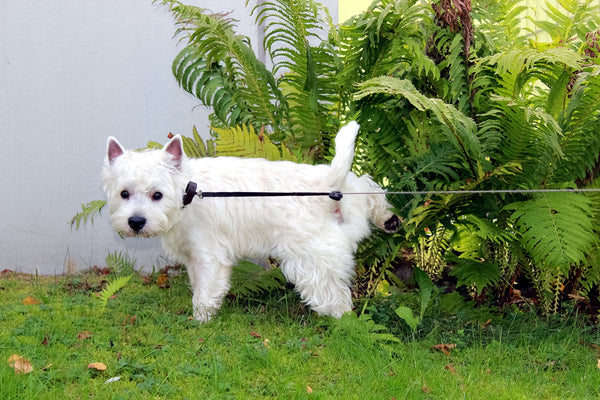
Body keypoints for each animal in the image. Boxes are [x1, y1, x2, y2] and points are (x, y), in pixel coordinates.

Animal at [102, 122, 398, 322]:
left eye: (157, 195)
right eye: (124, 193)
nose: (136, 221)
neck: (188, 193)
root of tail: (328, 187)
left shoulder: (210, 256)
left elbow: (205, 293)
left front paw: (200, 321)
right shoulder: (193, 258)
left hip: (311, 260)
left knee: (337, 299)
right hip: (351, 200)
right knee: (370, 188)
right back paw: (388, 219)